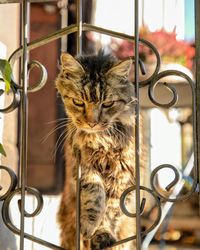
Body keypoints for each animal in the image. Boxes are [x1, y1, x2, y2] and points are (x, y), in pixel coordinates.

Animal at [55, 51, 145, 249]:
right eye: (78, 102)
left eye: (108, 104)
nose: (92, 123)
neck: (102, 141)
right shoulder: (83, 166)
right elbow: (95, 196)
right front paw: (90, 227)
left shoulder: (122, 175)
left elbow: (110, 210)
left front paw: (102, 234)